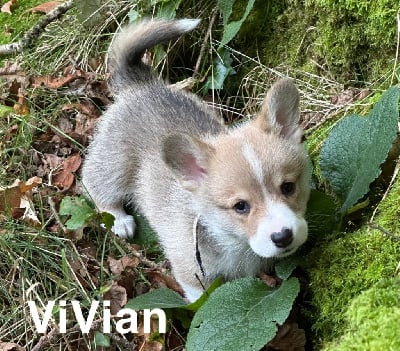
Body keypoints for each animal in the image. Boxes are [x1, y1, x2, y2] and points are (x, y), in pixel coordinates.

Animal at [82, 18, 312, 302]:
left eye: (288, 187)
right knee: (93, 183)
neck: (233, 242)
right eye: (240, 206)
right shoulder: (192, 274)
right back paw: (119, 219)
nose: (282, 236)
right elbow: (200, 300)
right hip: (114, 164)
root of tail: (140, 84)